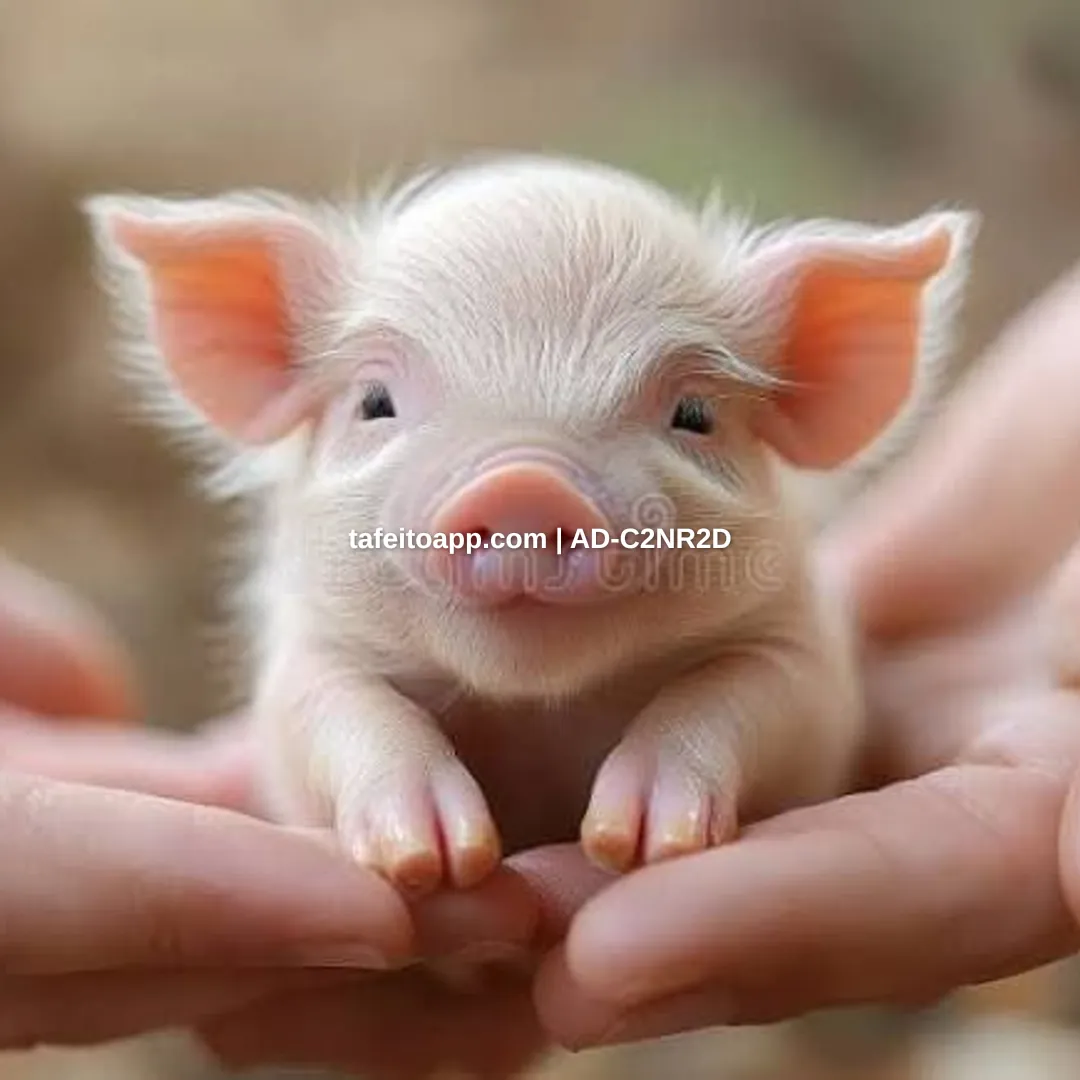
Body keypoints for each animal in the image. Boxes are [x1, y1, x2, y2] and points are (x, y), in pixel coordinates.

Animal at [84, 155, 976, 896]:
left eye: (695, 415)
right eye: (374, 402)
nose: (524, 485)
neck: (535, 709)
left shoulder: (805, 659)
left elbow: (742, 694)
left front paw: (640, 842)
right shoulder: (304, 656)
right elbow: (339, 709)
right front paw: (435, 861)